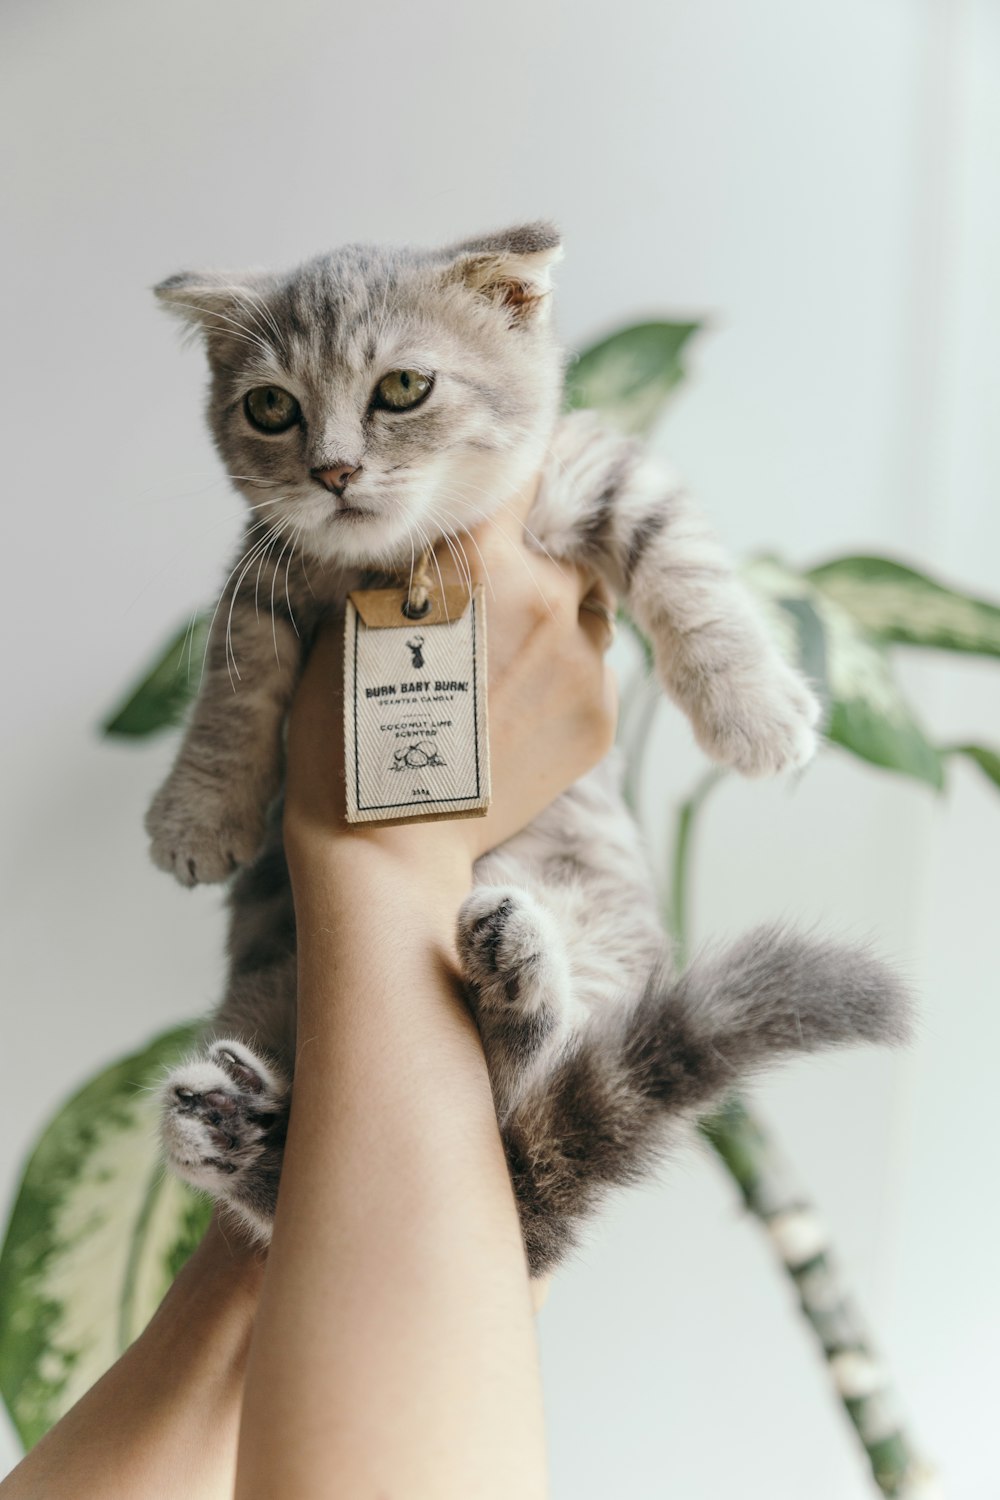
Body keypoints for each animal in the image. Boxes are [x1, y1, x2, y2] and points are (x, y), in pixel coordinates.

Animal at [152, 225, 911, 1278]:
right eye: (271, 408)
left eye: (403, 388)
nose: (333, 470)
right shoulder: (260, 578)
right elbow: (230, 692)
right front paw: (197, 810)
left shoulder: (602, 468)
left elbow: (688, 569)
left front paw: (753, 709)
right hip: (273, 985)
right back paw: (232, 1127)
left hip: (602, 943)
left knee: (526, 1087)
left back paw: (512, 981)